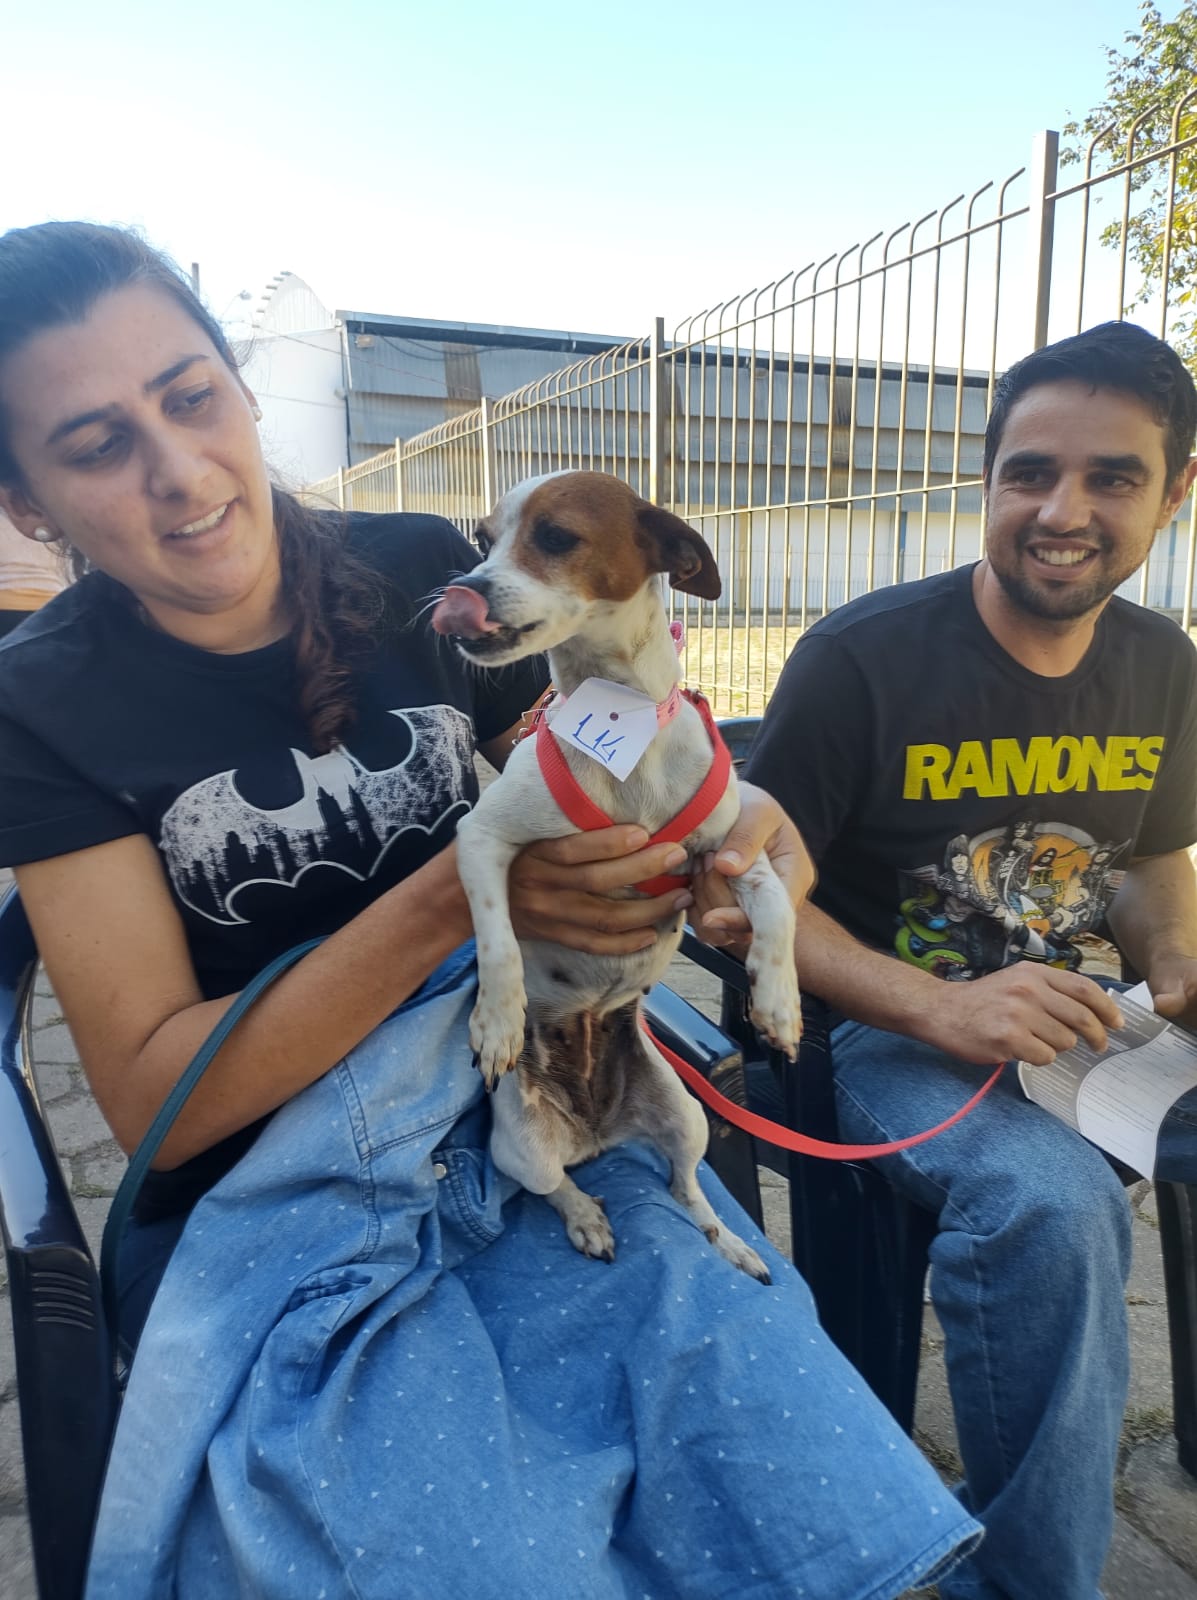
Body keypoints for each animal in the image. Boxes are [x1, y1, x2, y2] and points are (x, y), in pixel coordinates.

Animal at [430, 471, 802, 1278]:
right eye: (482, 540)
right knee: (555, 1187)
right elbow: (496, 941)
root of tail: (597, 1132)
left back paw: (730, 1244)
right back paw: (587, 1219)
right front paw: (497, 1021)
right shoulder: (482, 840)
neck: (620, 720)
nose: (458, 592)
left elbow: (777, 910)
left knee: (687, 1186)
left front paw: (780, 1003)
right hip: (520, 1147)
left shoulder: (732, 851)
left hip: (688, 1116)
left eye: (555, 536)